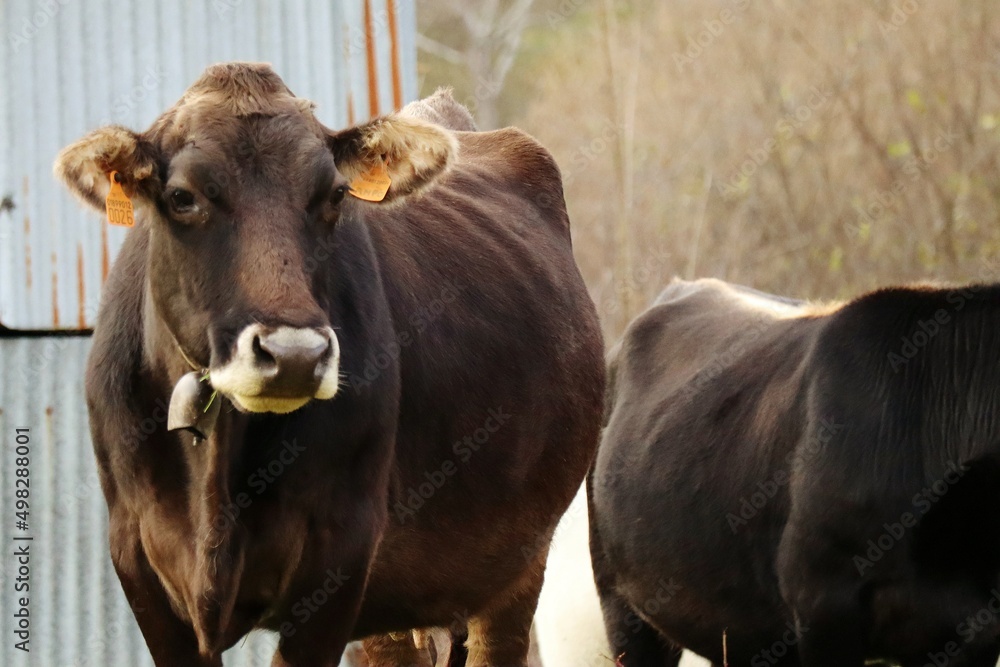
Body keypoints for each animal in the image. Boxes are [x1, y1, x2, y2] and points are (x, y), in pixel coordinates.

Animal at [54, 64, 600, 667]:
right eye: (181, 196)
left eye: (335, 194)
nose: (294, 355)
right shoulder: (137, 561)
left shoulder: (341, 555)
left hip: (516, 565)